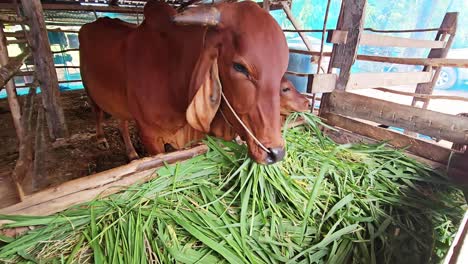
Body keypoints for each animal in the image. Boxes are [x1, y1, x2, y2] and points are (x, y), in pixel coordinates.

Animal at [80, 1, 288, 164]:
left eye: (282, 70)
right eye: (240, 67)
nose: (276, 153)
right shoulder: (150, 136)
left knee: (121, 120)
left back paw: (131, 153)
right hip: (89, 89)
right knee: (97, 111)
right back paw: (101, 138)